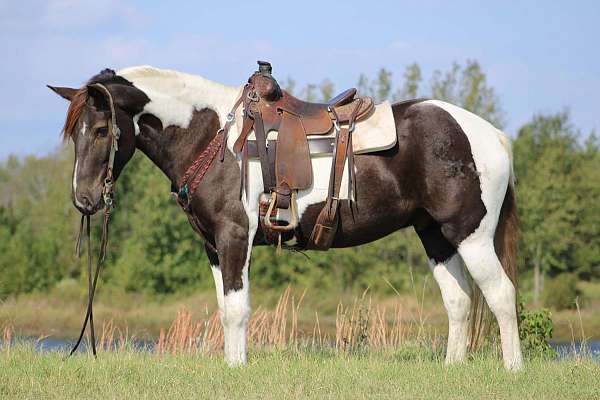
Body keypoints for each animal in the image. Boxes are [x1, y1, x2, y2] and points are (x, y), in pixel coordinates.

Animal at [49, 65, 524, 368]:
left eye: (101, 130)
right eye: (74, 132)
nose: (84, 200)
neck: (215, 141)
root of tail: (491, 135)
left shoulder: (235, 237)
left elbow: (237, 309)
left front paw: (236, 371)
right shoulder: (213, 247)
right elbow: (224, 308)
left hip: (470, 235)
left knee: (501, 295)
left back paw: (513, 369)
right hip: (437, 237)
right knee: (459, 301)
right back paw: (453, 369)